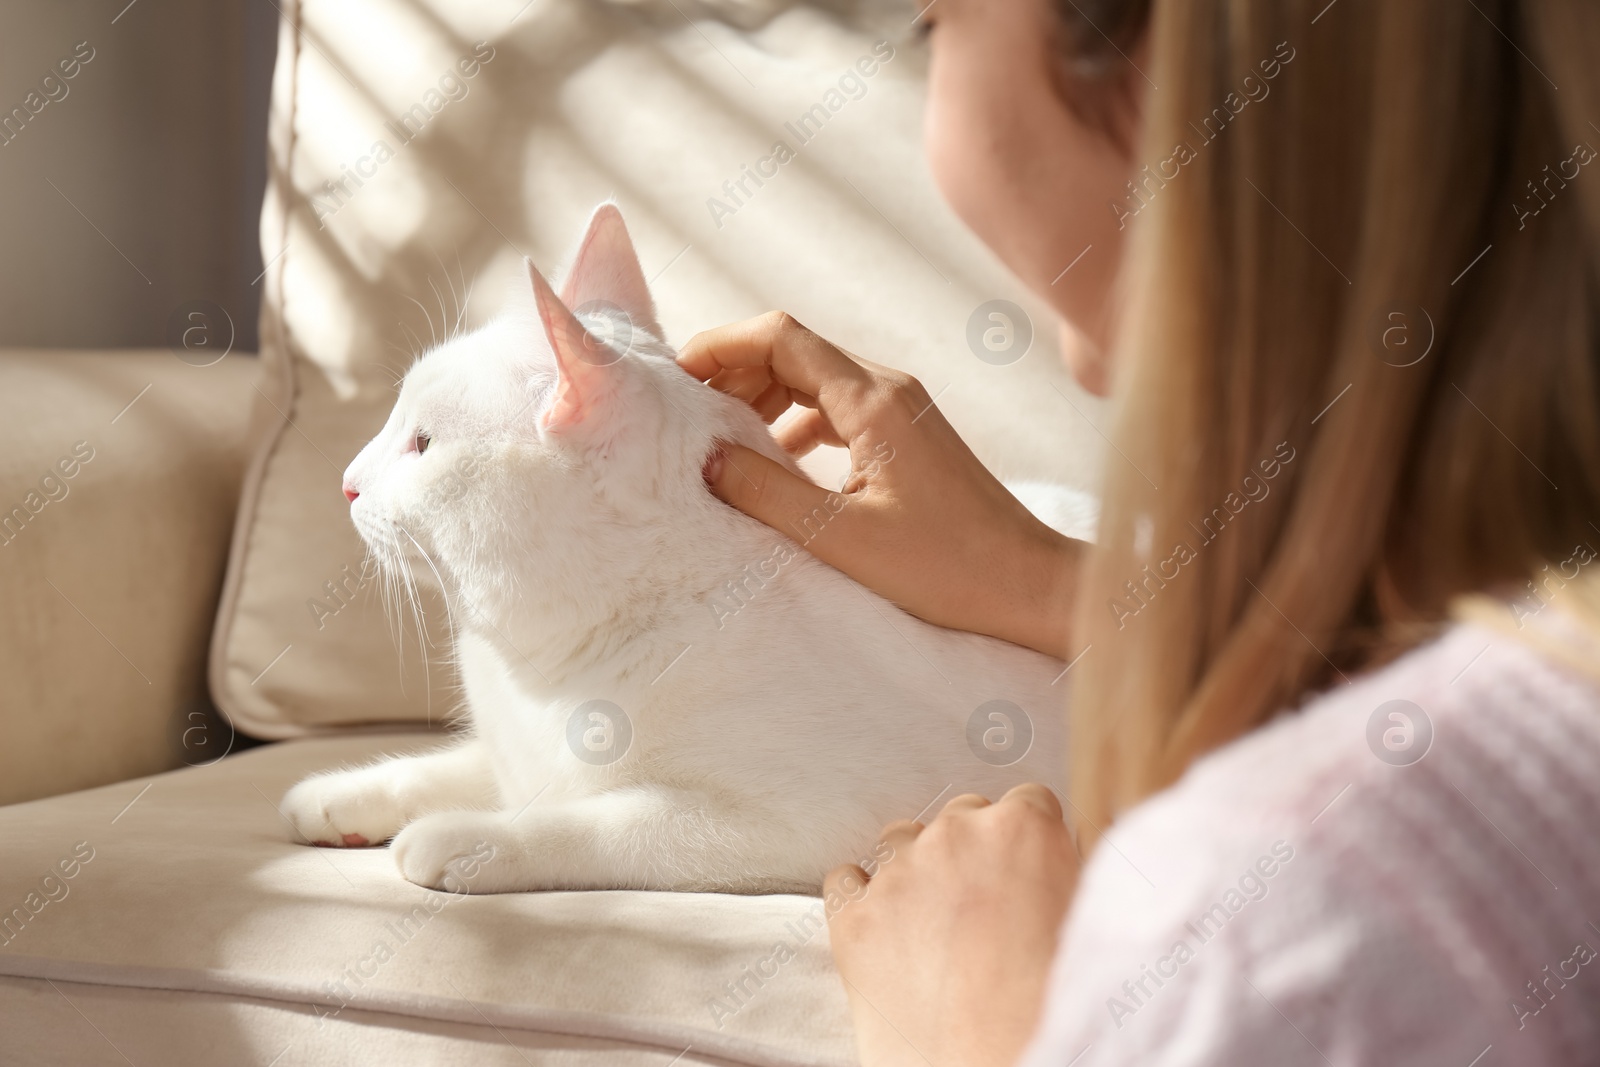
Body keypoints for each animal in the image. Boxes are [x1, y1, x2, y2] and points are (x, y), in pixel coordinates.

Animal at [281, 202, 1094, 895]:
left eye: (421, 445)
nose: (346, 482)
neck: (540, 674)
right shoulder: (516, 751)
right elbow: (454, 765)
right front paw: (339, 794)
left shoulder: (812, 825)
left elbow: (602, 821)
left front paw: (467, 838)